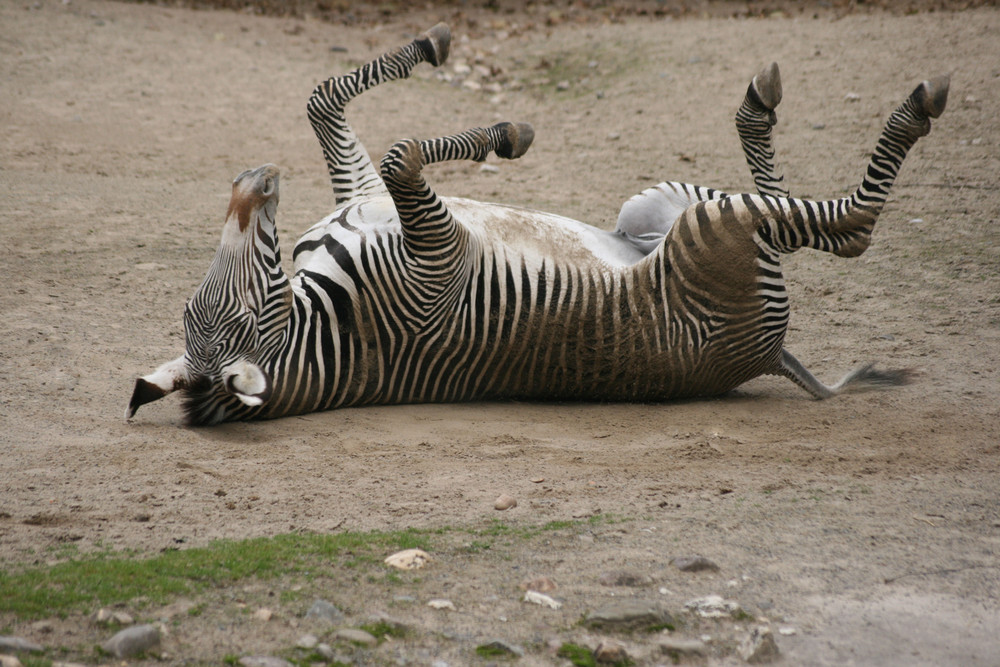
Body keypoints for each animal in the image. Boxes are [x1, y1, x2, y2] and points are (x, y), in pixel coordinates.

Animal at [129, 24, 948, 428]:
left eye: (210, 305)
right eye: (236, 312)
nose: (257, 180)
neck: (325, 323)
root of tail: (770, 354)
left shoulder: (368, 201)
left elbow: (328, 100)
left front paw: (455, 76)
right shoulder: (438, 257)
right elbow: (401, 154)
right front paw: (495, 132)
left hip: (657, 206)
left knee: (781, 207)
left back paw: (763, 99)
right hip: (710, 231)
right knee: (851, 226)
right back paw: (913, 105)